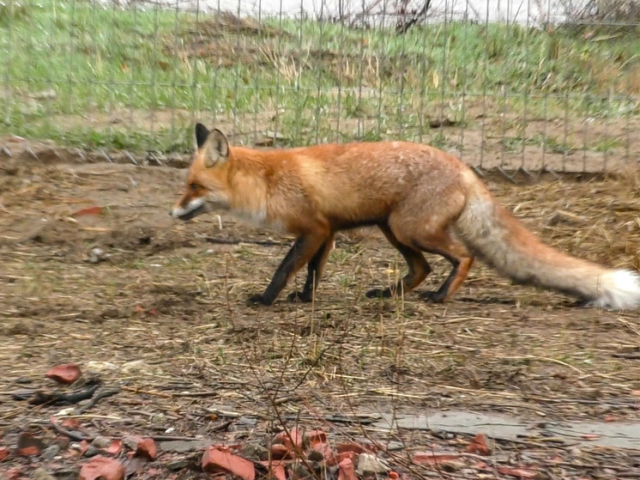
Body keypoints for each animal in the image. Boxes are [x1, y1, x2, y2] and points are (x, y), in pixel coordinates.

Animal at [170, 124, 640, 310]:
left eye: (194, 187)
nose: (173, 212)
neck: (267, 182)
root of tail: (465, 167)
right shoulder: (327, 232)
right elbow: (314, 273)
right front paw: (305, 300)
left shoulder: (314, 229)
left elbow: (285, 268)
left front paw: (266, 300)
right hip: (393, 229)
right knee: (422, 268)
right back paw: (391, 294)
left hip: (408, 228)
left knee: (462, 257)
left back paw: (441, 296)